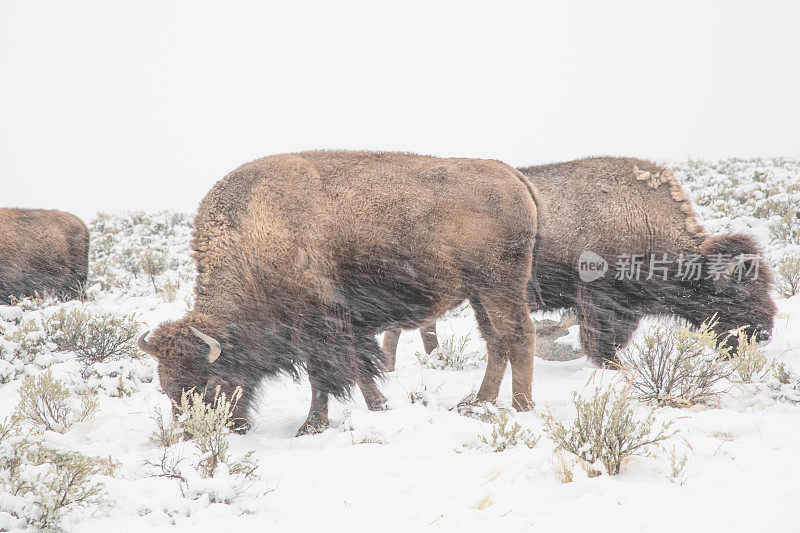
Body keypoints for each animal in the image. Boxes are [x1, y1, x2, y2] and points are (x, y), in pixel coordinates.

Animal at [138, 150, 544, 432]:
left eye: (210, 383)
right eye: (167, 387)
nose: (196, 432)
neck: (253, 239)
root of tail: (512, 175)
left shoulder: (318, 328)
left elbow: (324, 377)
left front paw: (310, 427)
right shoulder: (345, 326)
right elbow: (360, 370)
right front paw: (380, 406)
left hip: (499, 287)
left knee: (519, 335)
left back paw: (521, 407)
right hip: (479, 294)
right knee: (497, 341)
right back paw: (476, 404)